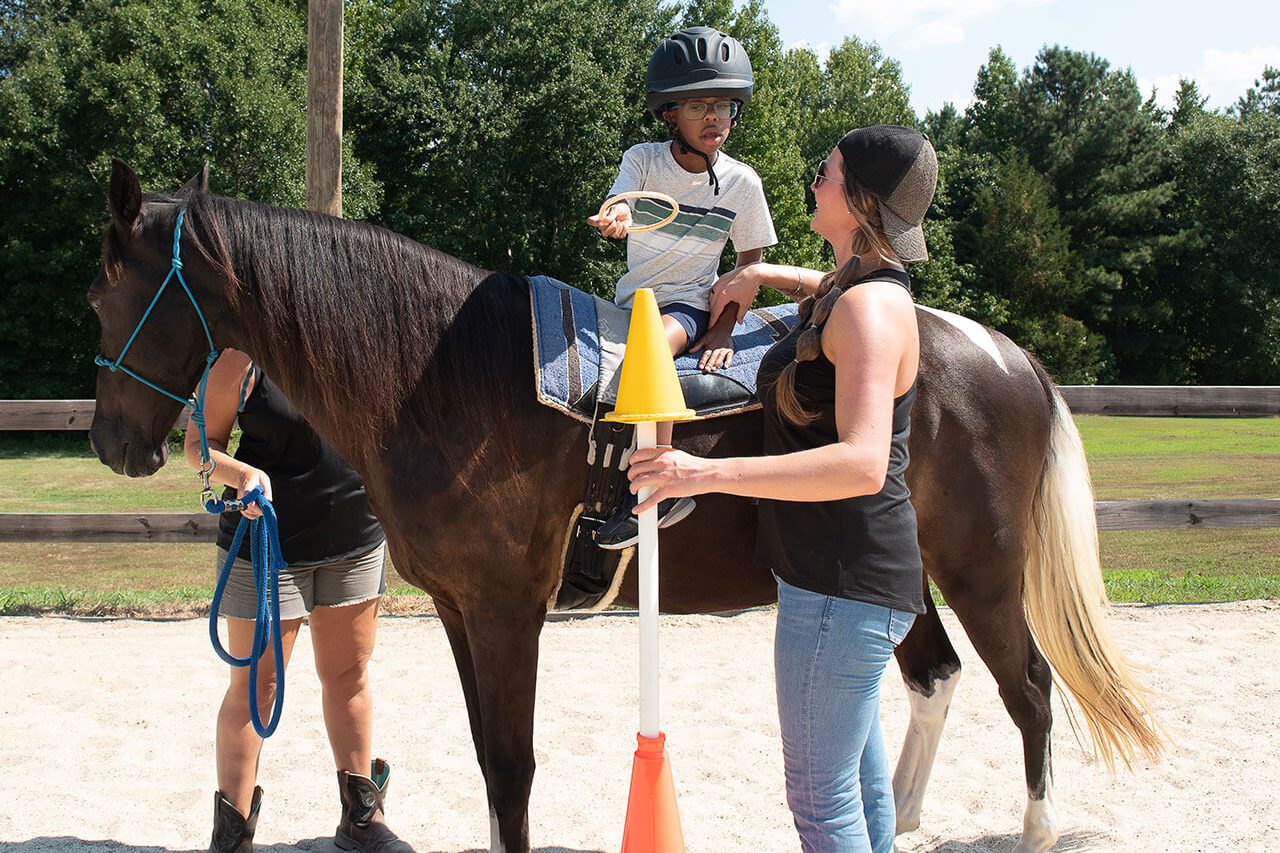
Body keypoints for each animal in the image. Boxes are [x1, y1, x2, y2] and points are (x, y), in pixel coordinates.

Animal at [85, 162, 1157, 845]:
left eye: (104, 295)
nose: (112, 445)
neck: (442, 376)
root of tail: (1005, 354)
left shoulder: (507, 612)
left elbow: (512, 766)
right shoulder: (459, 611)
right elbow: (490, 766)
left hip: (981, 569)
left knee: (1029, 688)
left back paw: (1037, 828)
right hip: (909, 574)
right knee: (934, 674)